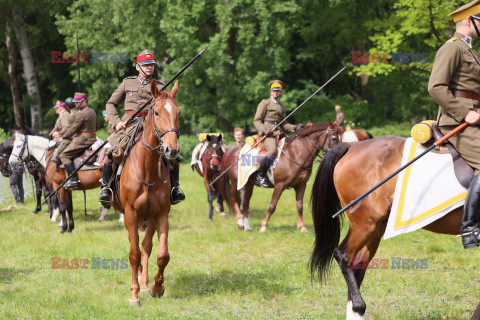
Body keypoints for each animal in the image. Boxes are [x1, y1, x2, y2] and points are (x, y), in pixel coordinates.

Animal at [110, 79, 180, 306]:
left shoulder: (161, 214)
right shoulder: (131, 214)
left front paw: (157, 287)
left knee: (146, 245)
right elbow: (133, 254)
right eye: (156, 112)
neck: (147, 169)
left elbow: (162, 254)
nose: (172, 149)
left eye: (178, 112)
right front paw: (134, 294)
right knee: (137, 246)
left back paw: (146, 281)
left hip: (150, 217)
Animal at [310, 136, 478, 320]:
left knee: (358, 264)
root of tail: (353, 145)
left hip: (376, 227)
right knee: (343, 255)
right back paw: (359, 305)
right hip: (365, 222)